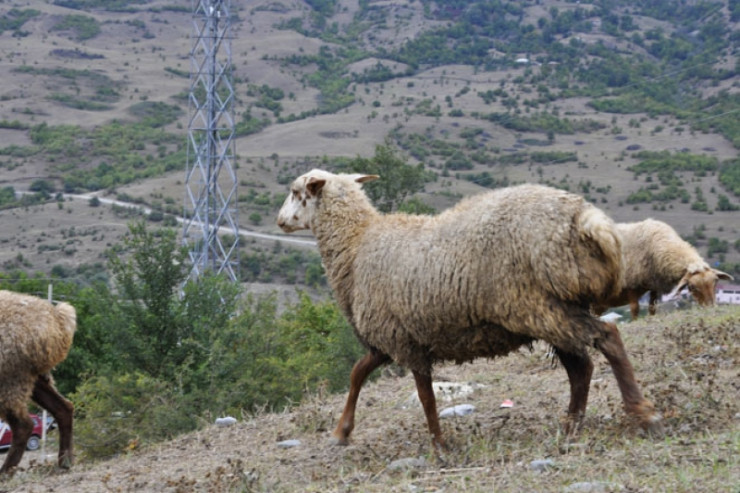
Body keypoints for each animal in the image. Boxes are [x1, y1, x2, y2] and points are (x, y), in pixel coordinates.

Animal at [0, 288, 76, 472]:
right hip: (32, 375)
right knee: (63, 408)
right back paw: (65, 460)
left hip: (11, 376)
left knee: (23, 426)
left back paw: (6, 471)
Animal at [278, 170, 664, 450]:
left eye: (296, 192)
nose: (280, 221)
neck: (357, 245)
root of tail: (586, 219)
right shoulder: (391, 340)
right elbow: (358, 373)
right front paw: (342, 432)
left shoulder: (403, 341)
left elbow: (425, 397)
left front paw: (439, 445)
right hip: (552, 309)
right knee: (581, 367)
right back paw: (572, 426)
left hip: (538, 305)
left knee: (607, 338)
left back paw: (642, 414)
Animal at [592, 218, 732, 320]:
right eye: (692, 287)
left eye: (715, 282)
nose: (711, 308)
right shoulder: (631, 286)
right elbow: (635, 310)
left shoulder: (654, 286)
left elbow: (652, 309)